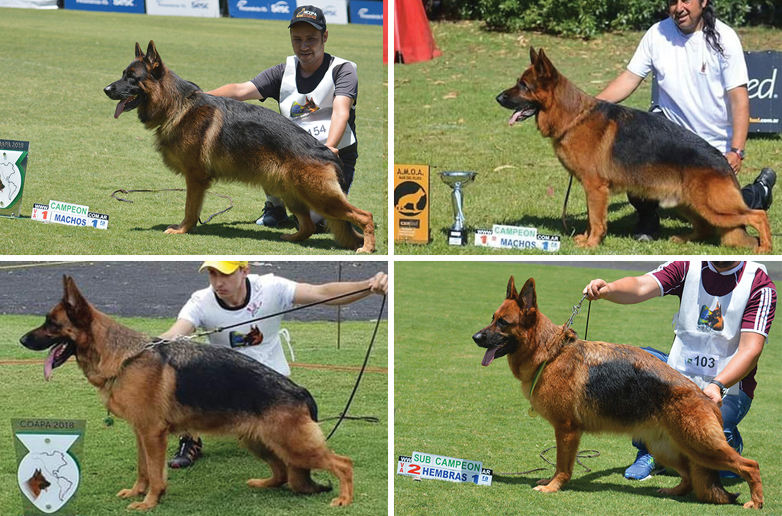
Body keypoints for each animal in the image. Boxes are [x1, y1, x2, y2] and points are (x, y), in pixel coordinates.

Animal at [19, 276, 356, 510]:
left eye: (52, 323)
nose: (22, 340)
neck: (125, 357)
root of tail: (300, 392)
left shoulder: (152, 434)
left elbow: (155, 474)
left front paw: (150, 501)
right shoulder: (141, 433)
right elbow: (143, 469)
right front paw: (138, 491)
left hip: (293, 445)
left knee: (343, 463)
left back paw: (344, 499)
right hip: (260, 441)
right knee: (284, 474)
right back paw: (263, 483)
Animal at [103, 42, 376, 254]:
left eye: (132, 78)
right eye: (123, 74)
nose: (106, 89)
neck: (176, 105)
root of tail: (327, 152)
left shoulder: (195, 179)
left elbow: (190, 209)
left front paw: (182, 229)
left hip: (321, 198)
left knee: (364, 215)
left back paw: (367, 247)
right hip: (291, 191)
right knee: (307, 226)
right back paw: (293, 237)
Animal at [472, 278, 764, 508]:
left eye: (503, 323)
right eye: (492, 319)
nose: (475, 337)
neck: (550, 353)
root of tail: (705, 397)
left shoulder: (566, 431)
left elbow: (562, 465)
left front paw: (554, 486)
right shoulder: (566, 431)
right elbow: (559, 465)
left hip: (703, 447)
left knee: (750, 465)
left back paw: (756, 501)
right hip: (666, 448)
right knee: (690, 477)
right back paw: (673, 491)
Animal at [496, 47, 772, 253]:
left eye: (524, 85)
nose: (498, 98)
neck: (573, 117)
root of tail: (724, 163)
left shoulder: (595, 188)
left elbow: (596, 219)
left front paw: (592, 243)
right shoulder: (591, 189)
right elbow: (591, 218)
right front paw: (586, 238)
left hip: (713, 205)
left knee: (757, 215)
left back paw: (765, 247)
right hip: (687, 203)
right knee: (705, 228)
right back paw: (684, 239)